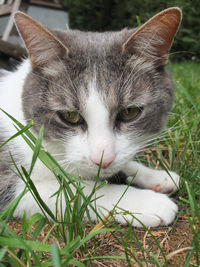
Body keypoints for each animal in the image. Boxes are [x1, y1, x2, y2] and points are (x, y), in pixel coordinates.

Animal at [0, 7, 181, 227]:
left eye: (129, 112)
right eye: (69, 115)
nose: (103, 160)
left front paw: (157, 176)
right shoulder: (11, 183)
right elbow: (77, 191)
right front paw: (147, 202)